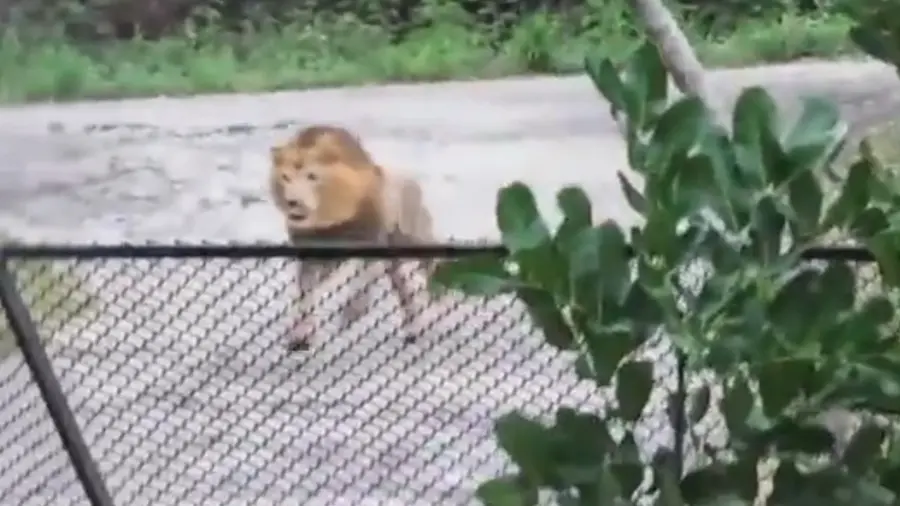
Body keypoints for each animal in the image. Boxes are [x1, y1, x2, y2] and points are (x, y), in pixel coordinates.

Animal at [269, 124, 437, 351]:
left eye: (312, 176)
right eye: (286, 177)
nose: (293, 202)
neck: (329, 221)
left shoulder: (372, 241)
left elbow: (362, 279)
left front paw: (352, 312)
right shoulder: (311, 258)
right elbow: (306, 294)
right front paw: (300, 335)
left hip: (410, 235)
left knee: (429, 258)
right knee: (404, 291)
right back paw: (412, 329)